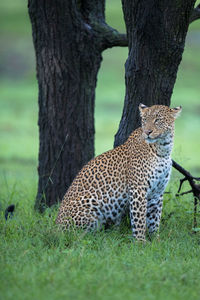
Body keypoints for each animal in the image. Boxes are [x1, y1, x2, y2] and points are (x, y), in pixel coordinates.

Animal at [56, 103, 181, 241]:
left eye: (157, 120)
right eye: (144, 120)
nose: (147, 132)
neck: (163, 149)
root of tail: (55, 228)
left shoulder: (157, 193)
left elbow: (154, 219)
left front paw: (155, 240)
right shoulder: (138, 189)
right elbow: (139, 219)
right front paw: (140, 241)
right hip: (90, 202)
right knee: (75, 235)